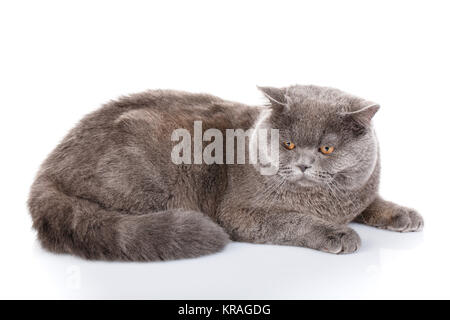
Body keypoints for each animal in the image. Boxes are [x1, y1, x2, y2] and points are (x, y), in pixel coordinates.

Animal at [27, 84, 422, 260]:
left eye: (326, 148)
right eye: (289, 144)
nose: (303, 164)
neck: (325, 203)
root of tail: (47, 169)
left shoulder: (359, 189)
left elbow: (371, 202)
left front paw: (403, 214)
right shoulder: (240, 213)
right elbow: (294, 220)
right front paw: (337, 234)